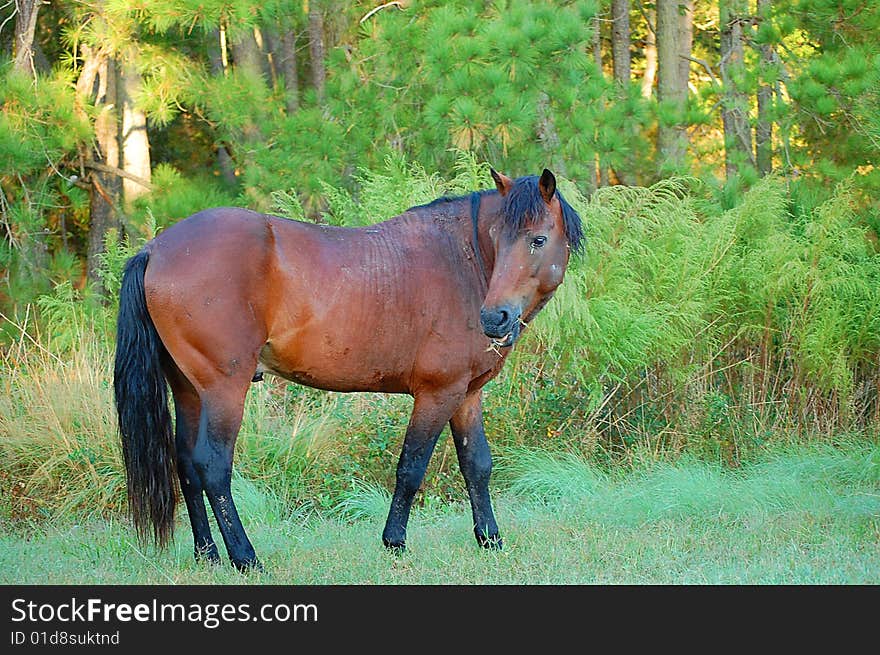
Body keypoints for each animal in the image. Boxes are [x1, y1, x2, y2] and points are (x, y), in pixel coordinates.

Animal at [113, 167, 580, 572]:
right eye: (498, 238)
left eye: (537, 239)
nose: (495, 317)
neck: (461, 261)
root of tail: (154, 249)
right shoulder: (438, 393)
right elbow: (411, 467)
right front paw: (395, 542)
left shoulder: (467, 394)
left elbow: (477, 465)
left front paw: (490, 540)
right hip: (224, 389)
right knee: (212, 466)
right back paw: (246, 558)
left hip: (189, 390)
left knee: (187, 465)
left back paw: (208, 555)